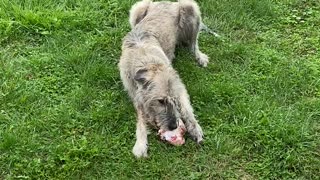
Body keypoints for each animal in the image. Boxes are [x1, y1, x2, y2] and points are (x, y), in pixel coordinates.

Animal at [119, 0, 206, 158]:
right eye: (160, 101)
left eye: (174, 100)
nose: (173, 126)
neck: (147, 62)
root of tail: (165, 2)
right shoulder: (135, 93)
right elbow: (140, 119)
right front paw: (140, 144)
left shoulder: (179, 87)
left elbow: (187, 108)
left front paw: (195, 128)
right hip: (137, 9)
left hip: (191, 7)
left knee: (193, 43)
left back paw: (200, 57)